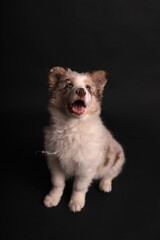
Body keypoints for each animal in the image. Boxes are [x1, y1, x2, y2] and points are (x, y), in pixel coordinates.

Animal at [43, 66, 125, 212]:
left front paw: (76, 202)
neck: (72, 127)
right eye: (69, 85)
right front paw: (52, 198)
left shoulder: (86, 167)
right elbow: (57, 184)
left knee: (110, 174)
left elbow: (78, 187)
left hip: (118, 159)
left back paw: (105, 185)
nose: (81, 91)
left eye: (88, 87)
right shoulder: (54, 162)